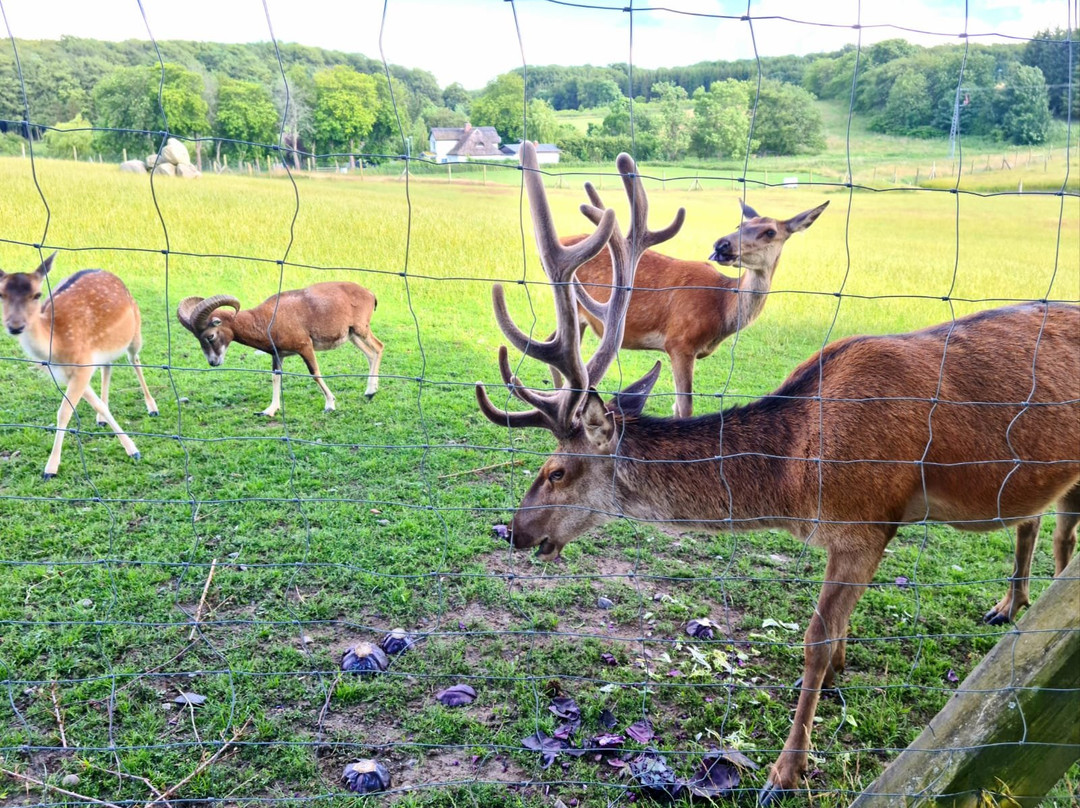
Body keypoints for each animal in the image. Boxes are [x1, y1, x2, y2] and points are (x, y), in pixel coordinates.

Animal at [0, 252, 159, 477]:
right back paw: (101, 419)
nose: (15, 326)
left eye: (37, 294)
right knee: (108, 366)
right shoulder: (68, 372)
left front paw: (50, 469)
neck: (56, 347)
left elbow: (64, 412)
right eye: (1, 294)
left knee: (134, 360)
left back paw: (152, 407)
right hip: (104, 348)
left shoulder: (83, 365)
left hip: (135, 332)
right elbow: (93, 403)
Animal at [565, 197, 825, 416]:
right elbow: (685, 407)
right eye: (740, 225)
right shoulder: (679, 343)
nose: (722, 245)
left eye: (770, 231)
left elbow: (677, 405)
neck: (722, 308)